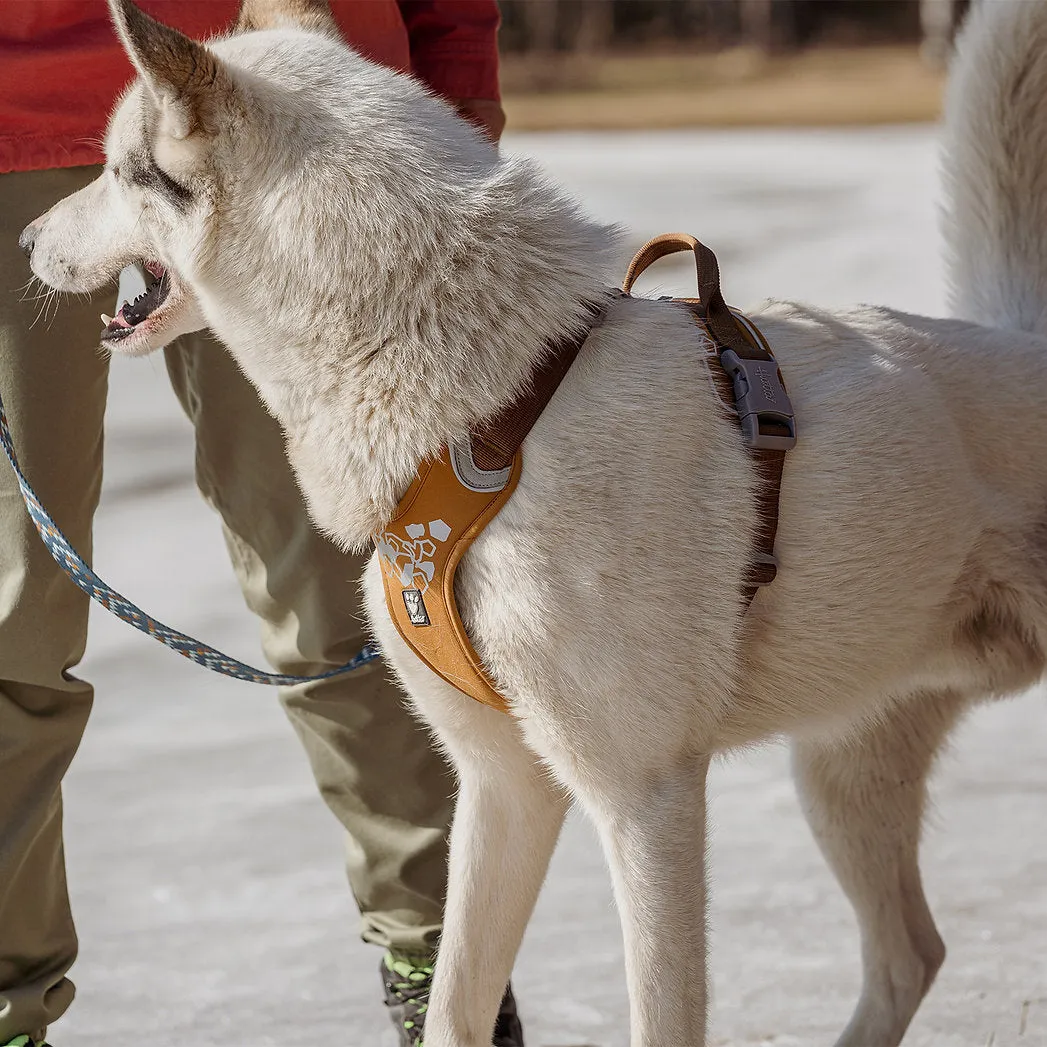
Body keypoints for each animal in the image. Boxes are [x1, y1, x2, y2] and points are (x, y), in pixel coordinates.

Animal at [20, 4, 1047, 1042]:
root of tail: (1019, 340)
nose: (22, 237)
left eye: (113, 169)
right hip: (840, 776)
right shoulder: (502, 785)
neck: (499, 412)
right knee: (910, 953)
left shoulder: (644, 799)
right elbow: (453, 1005)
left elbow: (658, 1016)